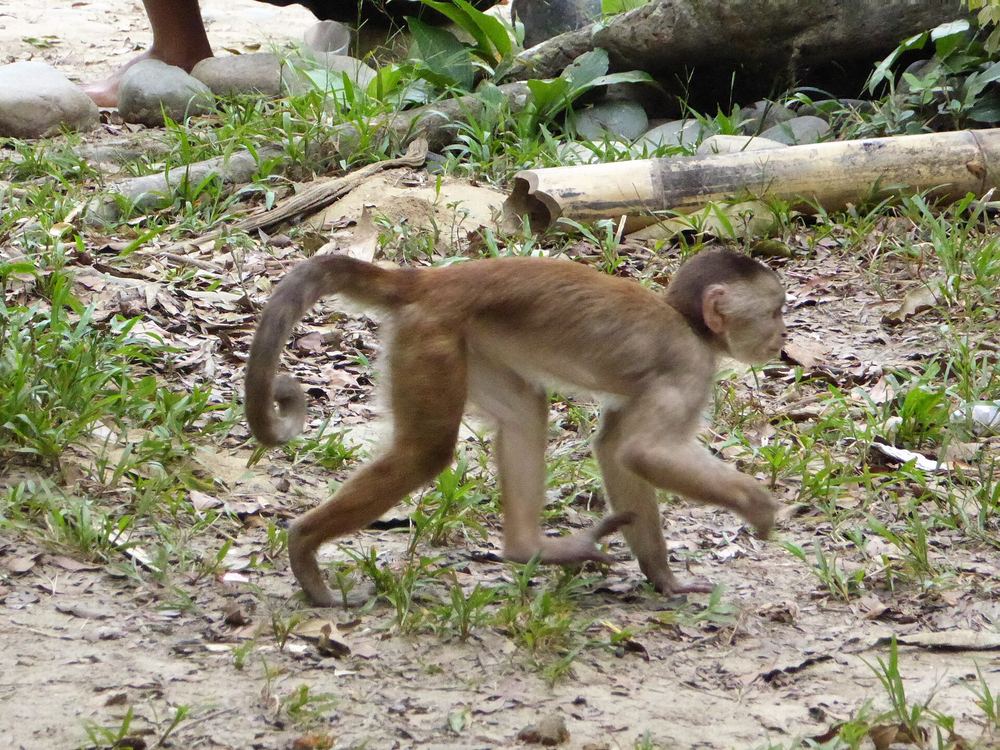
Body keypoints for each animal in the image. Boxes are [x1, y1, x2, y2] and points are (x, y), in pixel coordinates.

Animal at [245, 248, 787, 606]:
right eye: (776, 311)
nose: (783, 338)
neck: (687, 323)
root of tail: (431, 281)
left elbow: (615, 448)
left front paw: (661, 577)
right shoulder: (688, 368)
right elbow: (642, 452)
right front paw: (756, 504)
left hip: (470, 340)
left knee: (526, 410)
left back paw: (530, 549)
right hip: (433, 335)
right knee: (426, 452)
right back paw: (303, 544)